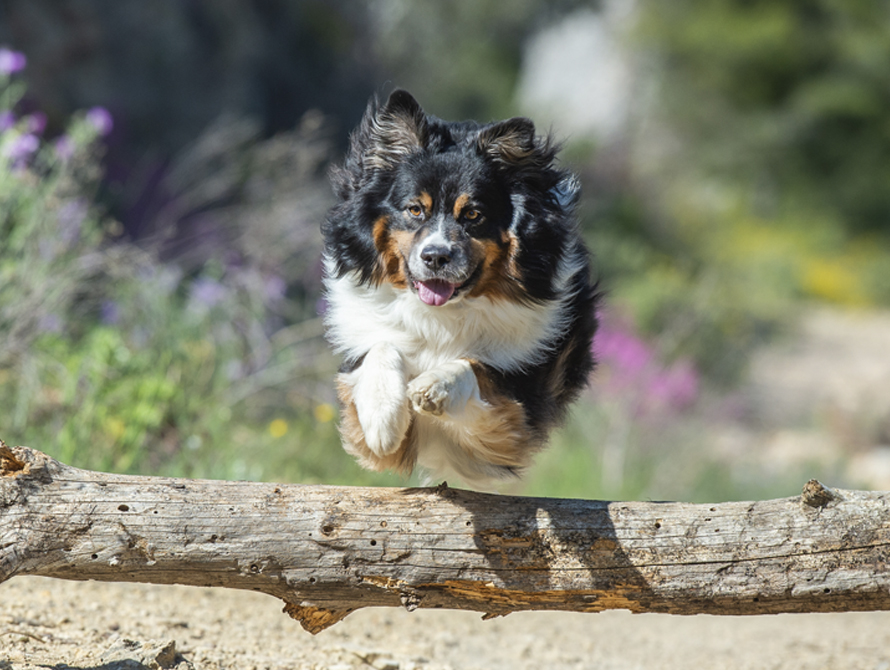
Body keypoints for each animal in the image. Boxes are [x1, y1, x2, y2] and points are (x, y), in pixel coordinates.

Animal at [320, 90, 596, 488]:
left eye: (473, 215)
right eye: (415, 210)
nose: (435, 256)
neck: (440, 315)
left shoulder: (514, 419)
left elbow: (476, 366)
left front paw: (435, 386)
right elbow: (384, 347)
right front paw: (383, 418)